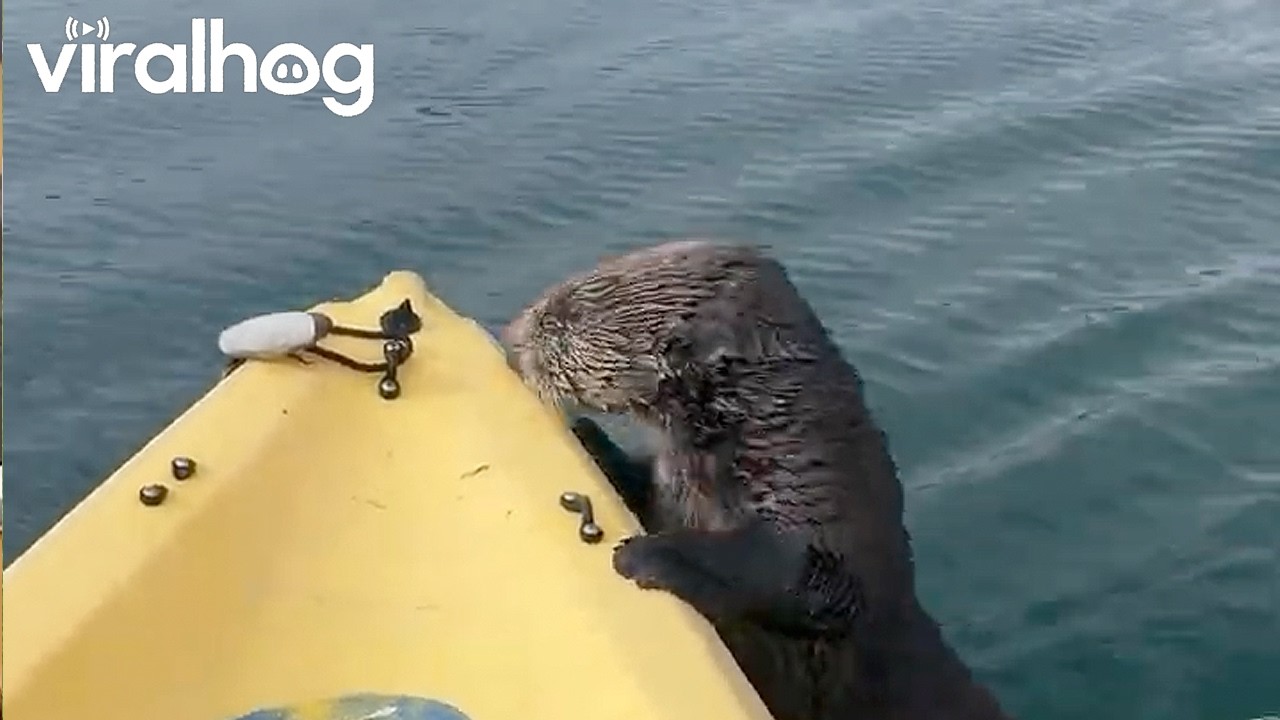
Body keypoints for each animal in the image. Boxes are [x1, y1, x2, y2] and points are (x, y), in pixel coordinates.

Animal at [502, 239, 1012, 720]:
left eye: (562, 319)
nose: (509, 340)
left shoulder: (815, 510)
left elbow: (792, 574)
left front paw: (650, 555)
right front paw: (590, 441)